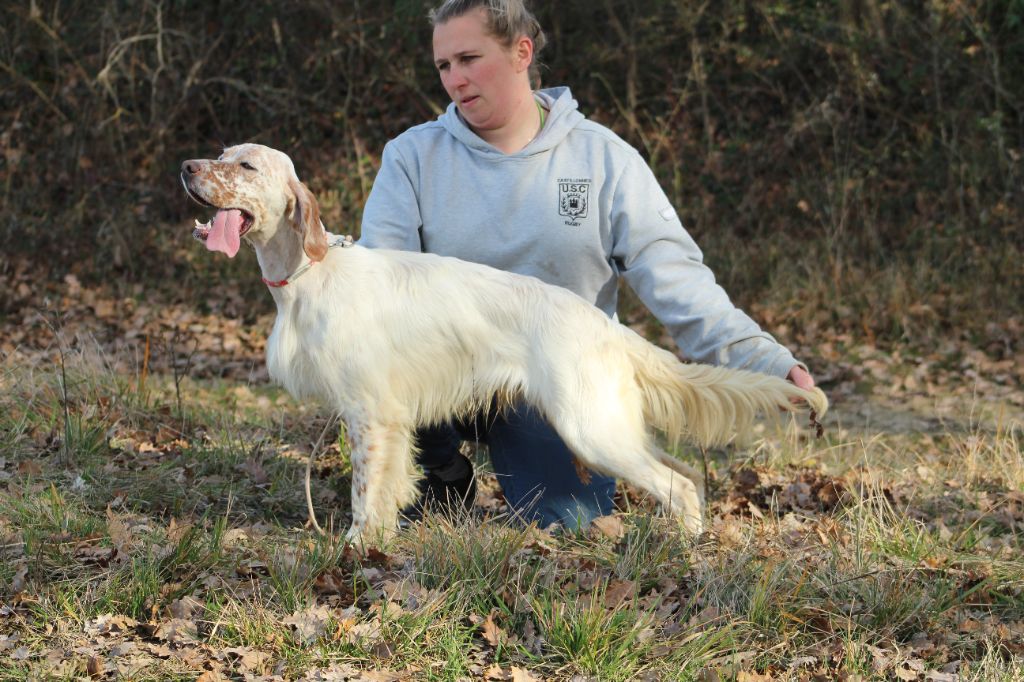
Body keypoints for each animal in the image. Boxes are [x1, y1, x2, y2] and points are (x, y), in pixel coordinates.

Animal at [180, 144, 827, 548]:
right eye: (219, 153)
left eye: (244, 164)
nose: (186, 167)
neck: (310, 273)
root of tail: (606, 328)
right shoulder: (386, 419)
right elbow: (388, 490)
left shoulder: (371, 413)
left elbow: (367, 490)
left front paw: (357, 544)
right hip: (612, 429)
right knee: (684, 472)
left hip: (590, 429)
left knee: (679, 486)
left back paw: (685, 552)